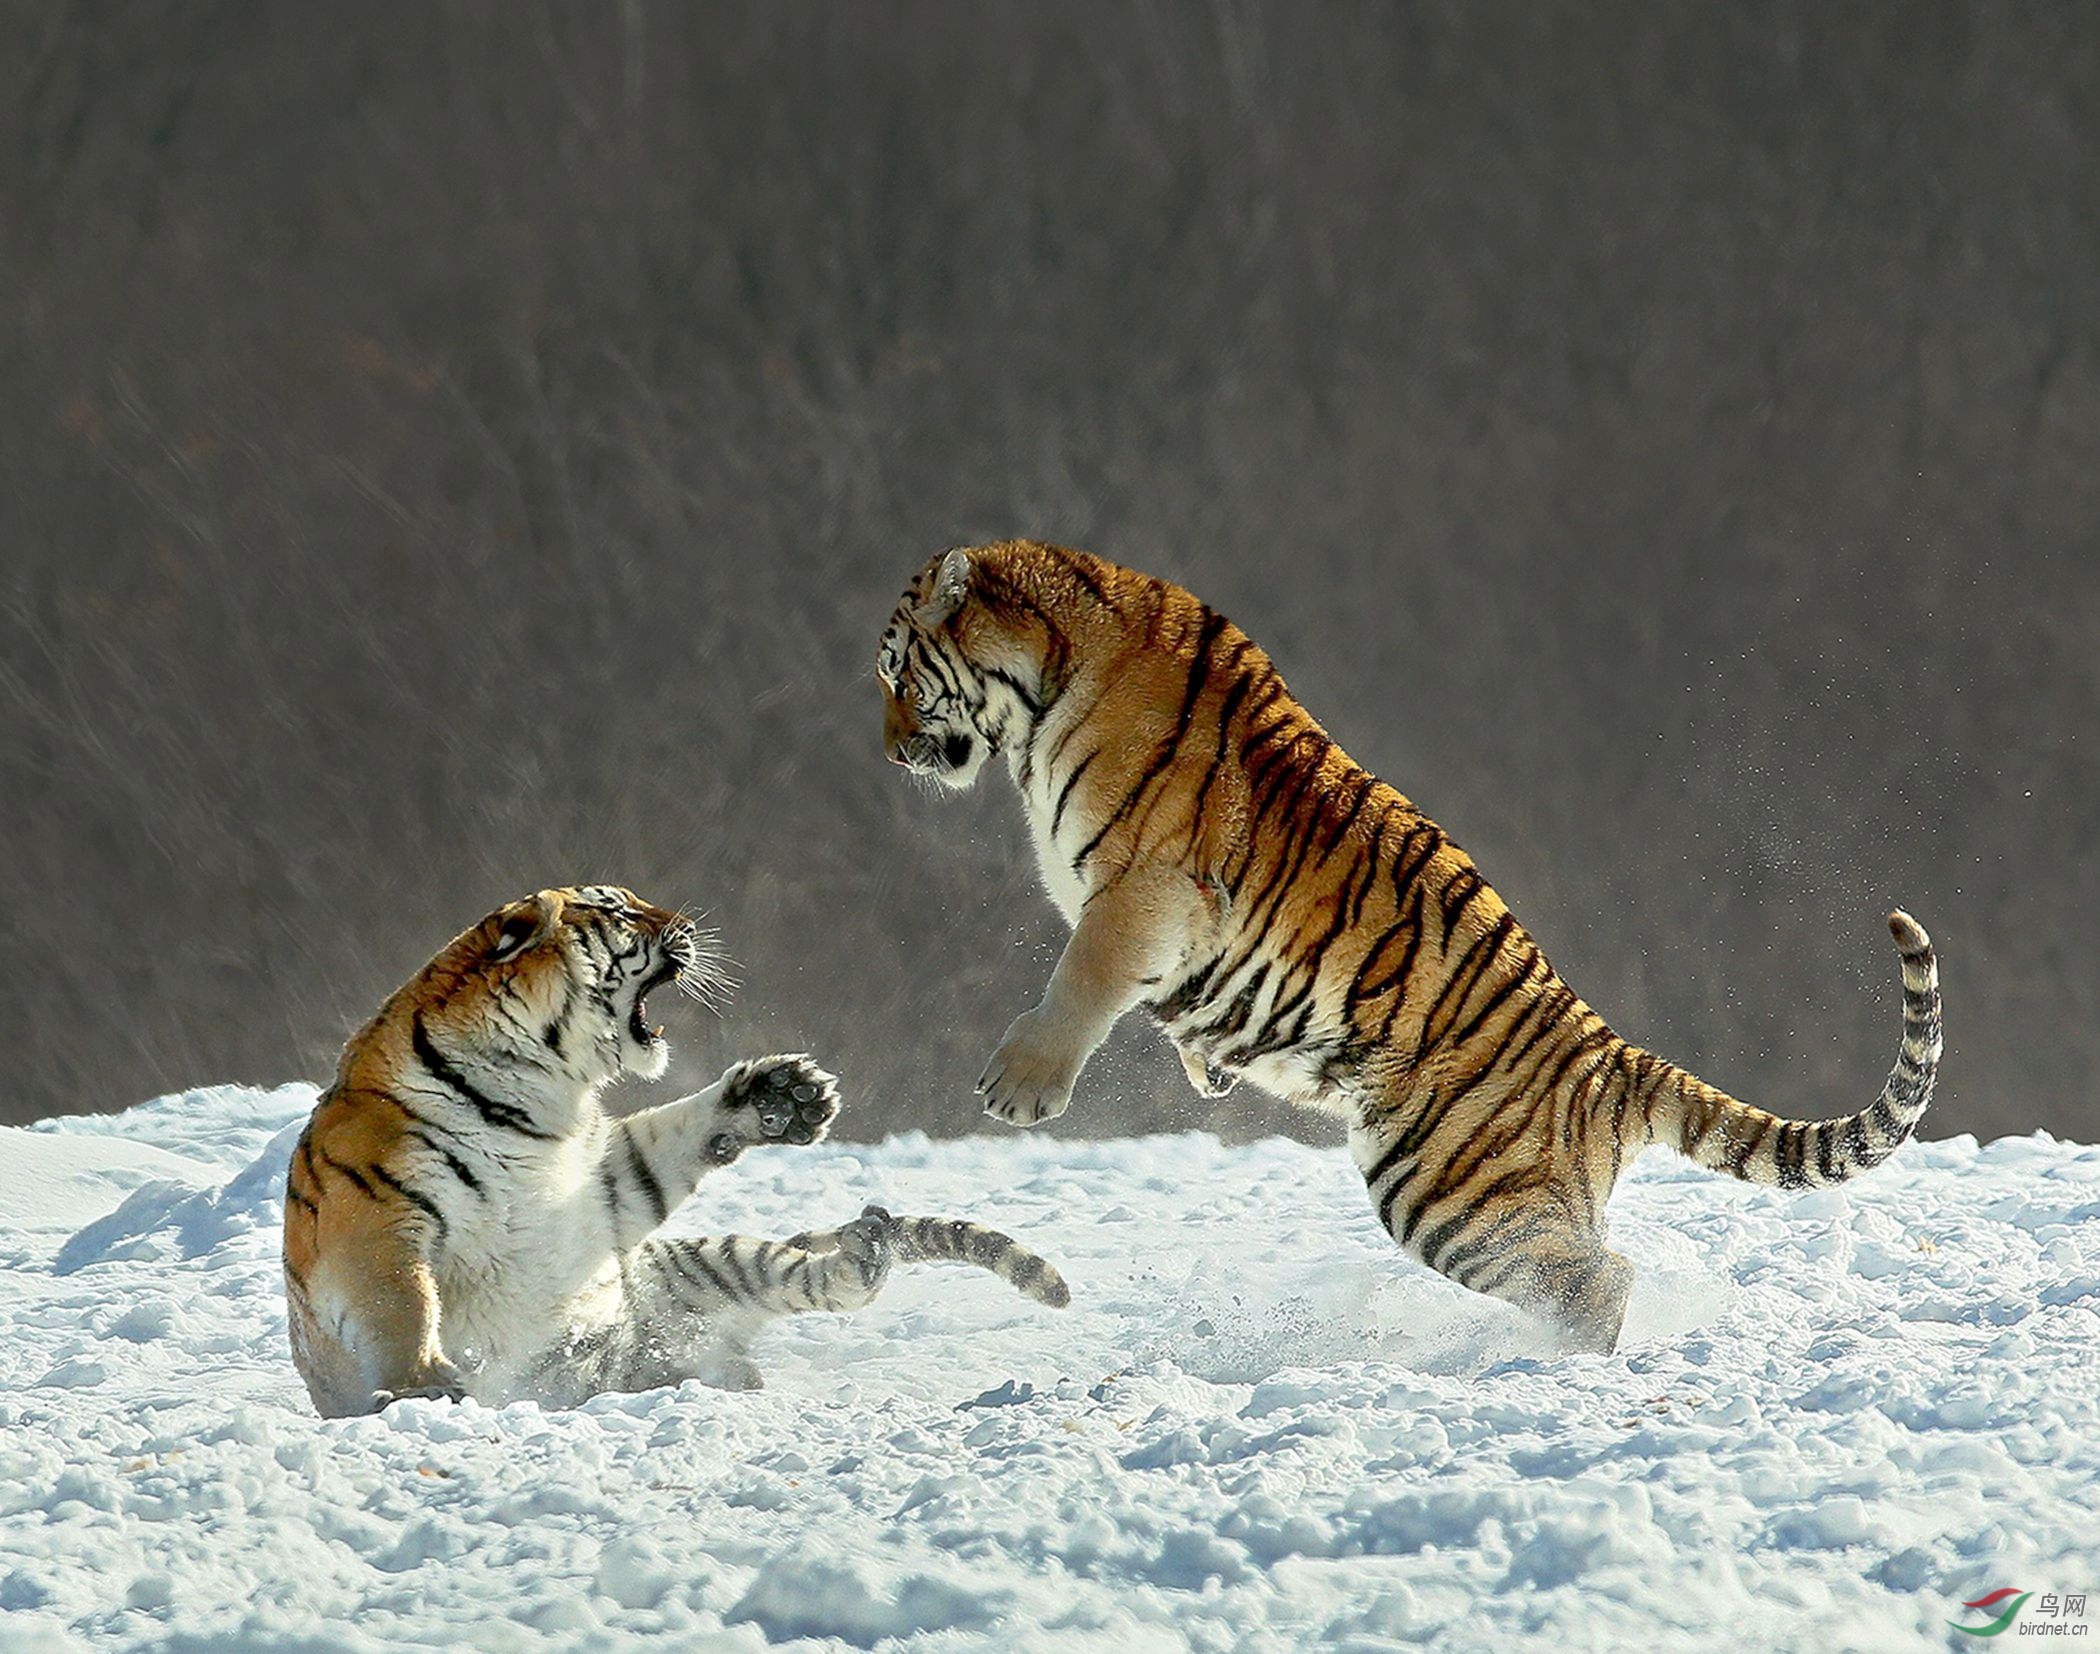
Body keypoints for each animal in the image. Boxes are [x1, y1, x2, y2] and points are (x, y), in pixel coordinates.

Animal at [281, 885, 1075, 1418]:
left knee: (823, 1279)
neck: (543, 1092)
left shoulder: (596, 1177)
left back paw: (862, 1249)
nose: (692, 924)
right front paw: (423, 1384)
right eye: (621, 911)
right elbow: (399, 1303)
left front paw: (781, 1096)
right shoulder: (378, 1220)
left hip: (711, 1260)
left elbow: (670, 1139)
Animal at [877, 541, 1940, 1360]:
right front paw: (1204, 1064)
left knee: (1599, 1280)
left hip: (1444, 1188)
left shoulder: (1146, 887)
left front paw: (1019, 1089)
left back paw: (1547, 1370)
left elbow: (1078, 981)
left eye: (896, 674)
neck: (1043, 696)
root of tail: (1609, 1054)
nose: (888, 750)